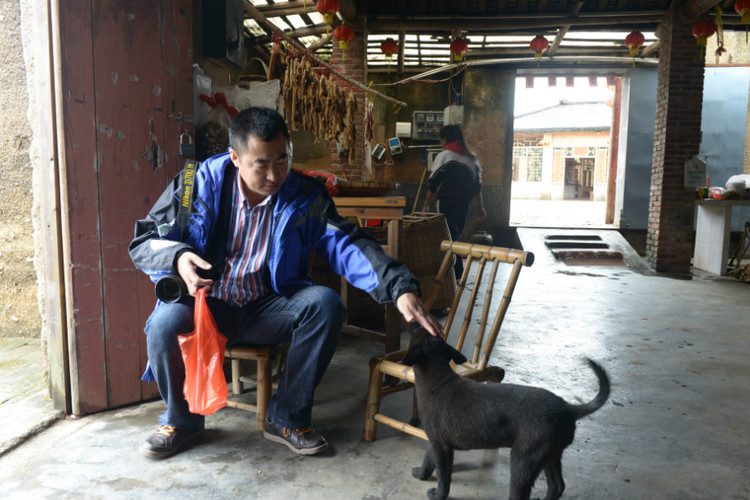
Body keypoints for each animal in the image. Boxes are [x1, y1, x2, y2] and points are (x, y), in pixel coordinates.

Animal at [406, 328, 612, 500]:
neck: (437, 378)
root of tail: (568, 408)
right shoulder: (437, 442)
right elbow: (428, 458)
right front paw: (421, 474)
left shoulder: (442, 446)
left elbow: (444, 476)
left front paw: (438, 494)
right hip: (550, 455)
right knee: (557, 486)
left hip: (524, 458)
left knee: (522, 493)